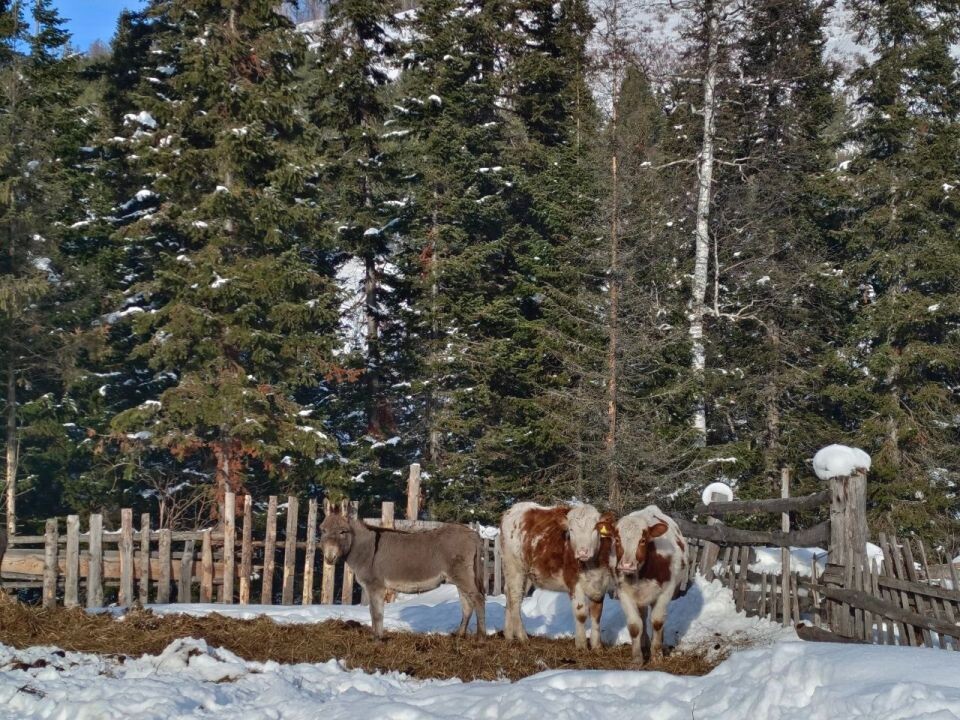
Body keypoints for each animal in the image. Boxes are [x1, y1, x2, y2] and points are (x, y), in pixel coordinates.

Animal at [319, 507, 486, 639]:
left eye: (343, 531)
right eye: (323, 530)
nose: (329, 558)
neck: (364, 548)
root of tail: (472, 533)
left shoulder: (376, 586)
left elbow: (377, 613)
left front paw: (377, 639)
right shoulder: (371, 588)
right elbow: (373, 612)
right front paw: (376, 636)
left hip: (462, 575)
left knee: (478, 598)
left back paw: (481, 637)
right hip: (459, 578)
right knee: (467, 604)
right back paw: (459, 635)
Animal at [500, 502, 617, 649]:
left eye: (594, 529)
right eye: (571, 530)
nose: (582, 552)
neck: (592, 565)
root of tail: (514, 508)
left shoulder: (601, 584)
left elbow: (597, 614)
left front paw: (597, 646)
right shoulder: (573, 581)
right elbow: (581, 613)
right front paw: (581, 645)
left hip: (525, 574)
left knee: (511, 597)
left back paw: (509, 636)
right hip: (514, 568)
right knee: (515, 599)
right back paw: (522, 637)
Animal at [614, 505, 687, 663]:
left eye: (642, 540)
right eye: (617, 539)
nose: (627, 565)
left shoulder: (666, 591)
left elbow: (657, 621)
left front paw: (657, 656)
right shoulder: (623, 593)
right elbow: (635, 625)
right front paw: (637, 659)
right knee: (643, 616)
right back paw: (644, 642)